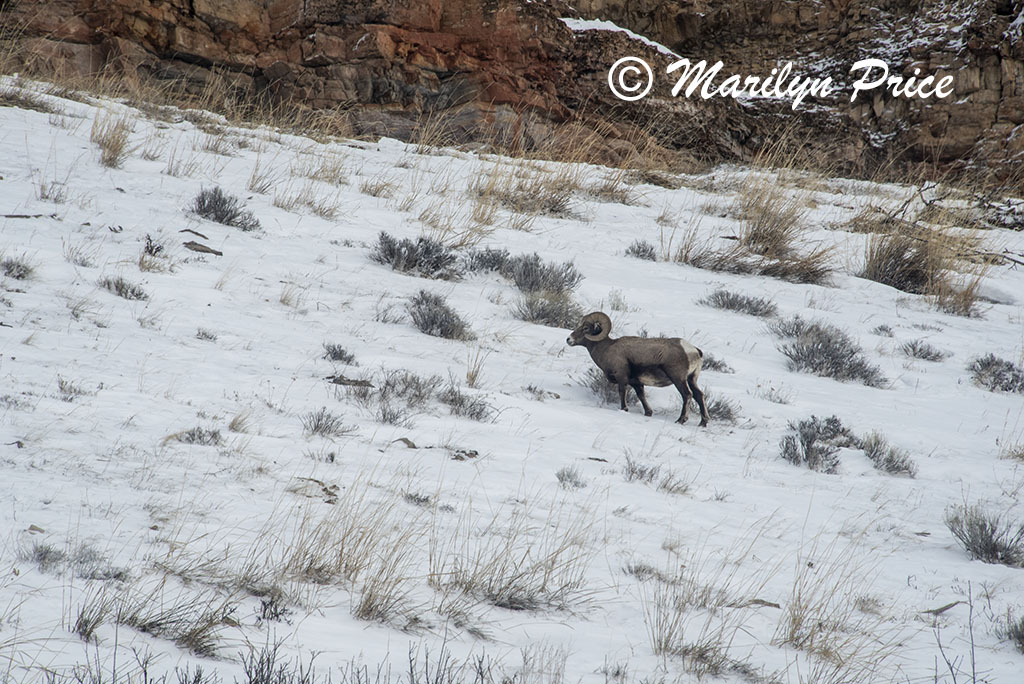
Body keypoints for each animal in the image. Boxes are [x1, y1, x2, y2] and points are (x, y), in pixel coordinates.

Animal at [566, 311, 710, 426]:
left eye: (585, 328)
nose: (569, 339)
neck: (606, 348)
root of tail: (693, 350)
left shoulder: (622, 378)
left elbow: (622, 392)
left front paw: (624, 409)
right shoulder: (636, 383)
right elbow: (641, 396)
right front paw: (648, 413)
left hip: (678, 379)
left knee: (687, 395)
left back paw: (681, 420)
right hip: (691, 379)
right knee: (699, 395)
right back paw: (703, 423)